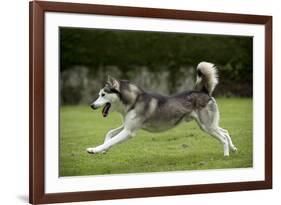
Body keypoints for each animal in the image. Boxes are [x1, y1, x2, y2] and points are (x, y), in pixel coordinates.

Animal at [86, 61, 235, 156]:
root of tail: (203, 92)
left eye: (103, 94)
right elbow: (109, 133)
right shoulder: (127, 126)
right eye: (99, 94)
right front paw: (104, 150)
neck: (134, 100)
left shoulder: (129, 132)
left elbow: (111, 140)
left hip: (207, 126)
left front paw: (94, 150)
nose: (91, 105)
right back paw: (233, 148)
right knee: (225, 131)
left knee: (222, 137)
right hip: (207, 125)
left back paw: (226, 154)